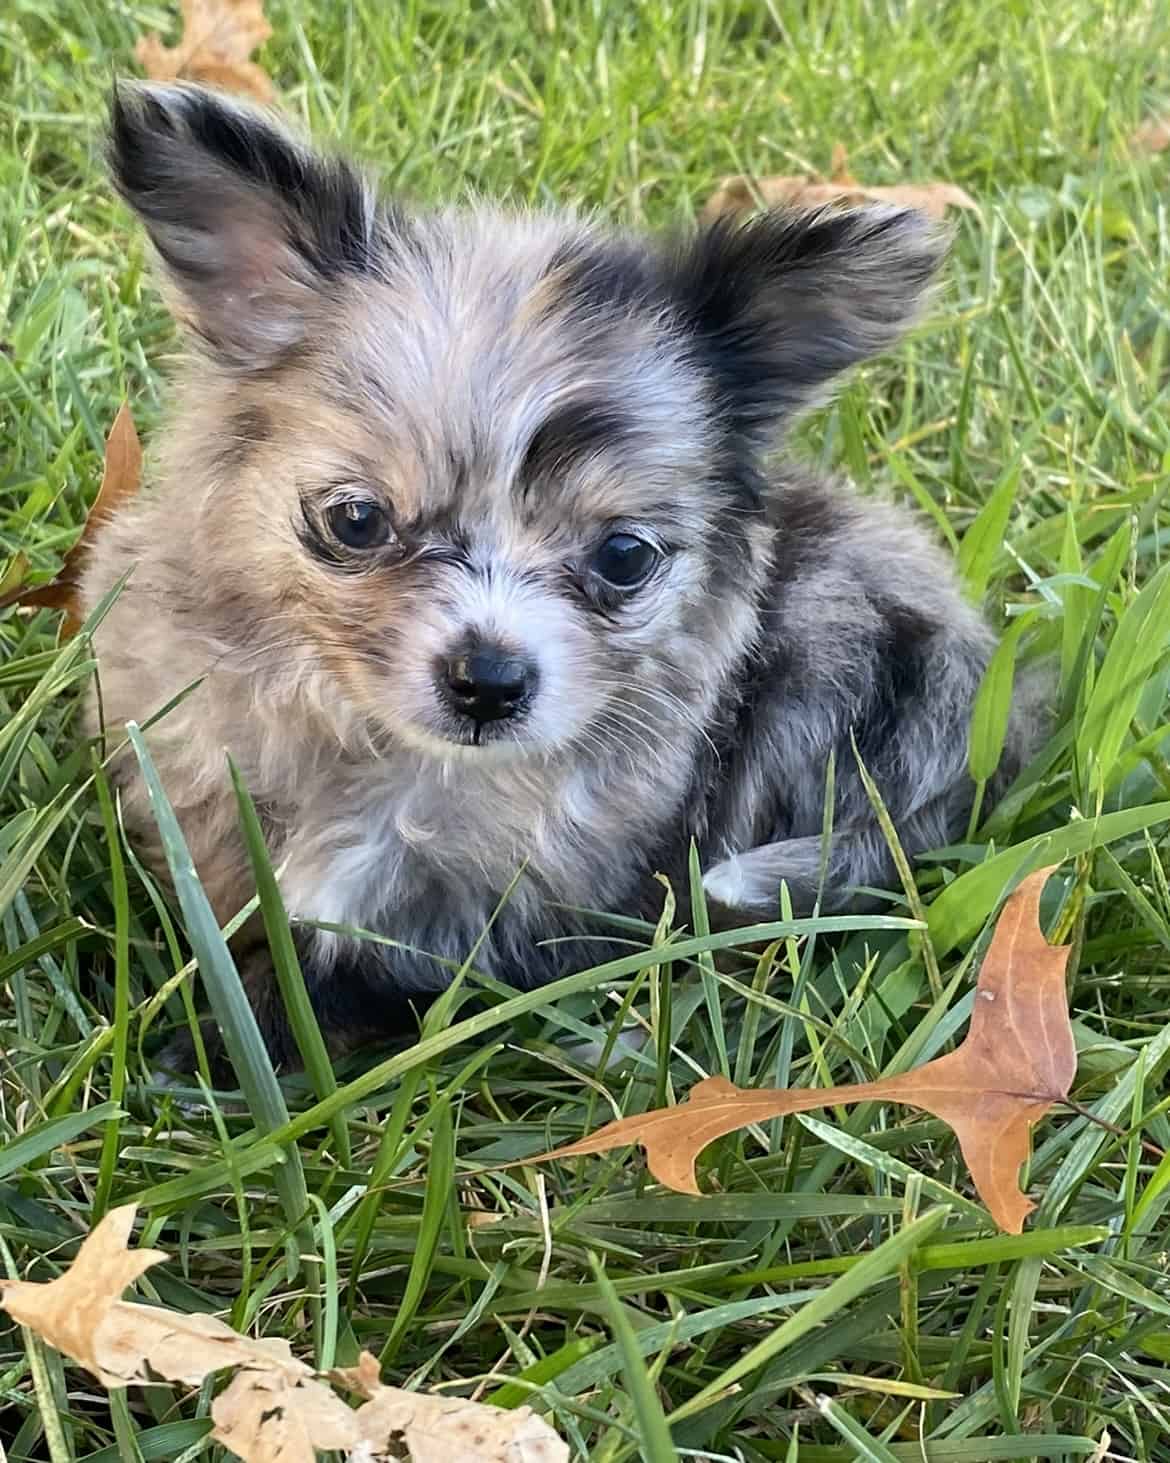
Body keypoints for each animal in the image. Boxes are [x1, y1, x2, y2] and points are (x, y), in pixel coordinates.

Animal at [87, 85, 1047, 1070]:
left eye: (624, 557)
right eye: (356, 521)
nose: (488, 680)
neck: (386, 756)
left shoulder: (507, 918)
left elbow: (354, 981)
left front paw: (225, 1044)